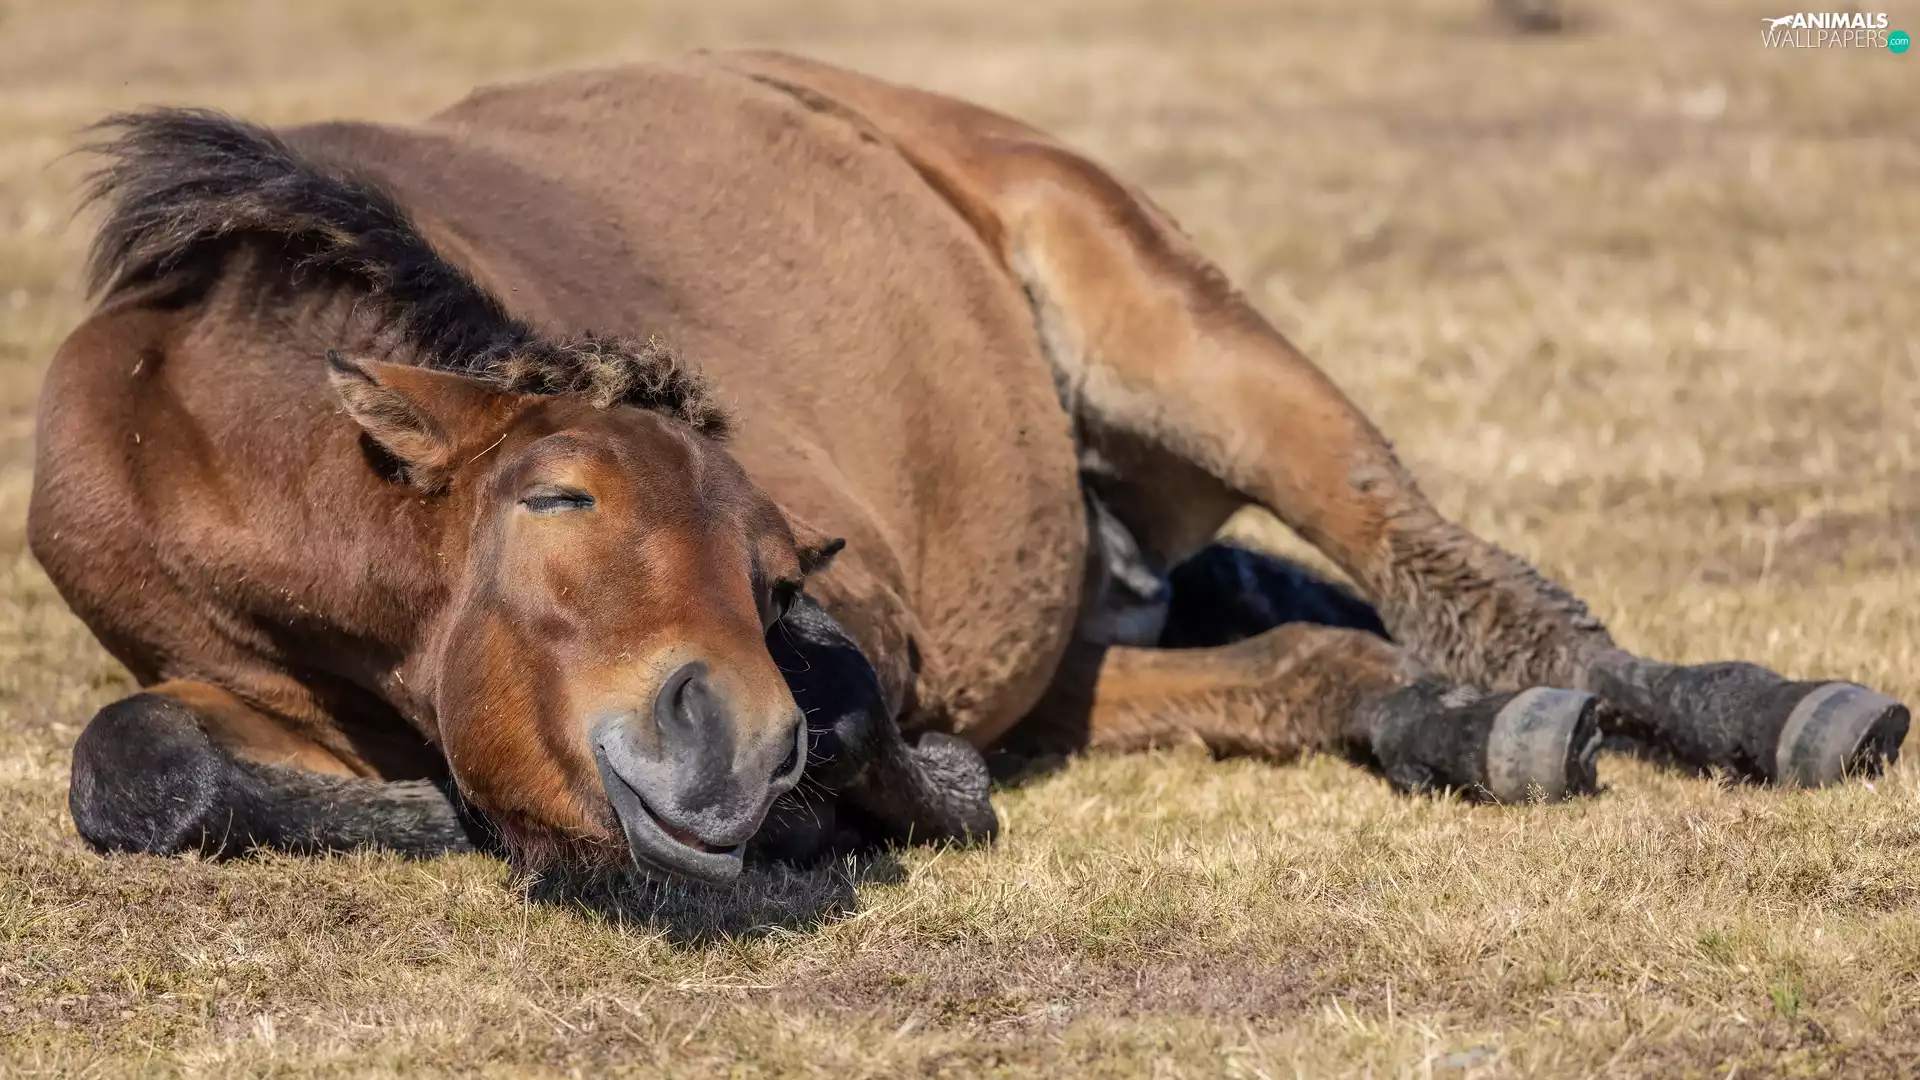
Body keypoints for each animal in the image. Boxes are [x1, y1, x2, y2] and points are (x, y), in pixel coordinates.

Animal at [31, 52, 1909, 884]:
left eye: (774, 552)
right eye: (557, 500)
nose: (735, 737)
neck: (177, 412)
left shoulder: (864, 617)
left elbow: (876, 727)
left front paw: (899, 789)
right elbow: (139, 766)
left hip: (1179, 331)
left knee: (1478, 589)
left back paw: (1769, 715)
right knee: (1316, 657)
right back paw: (1453, 726)